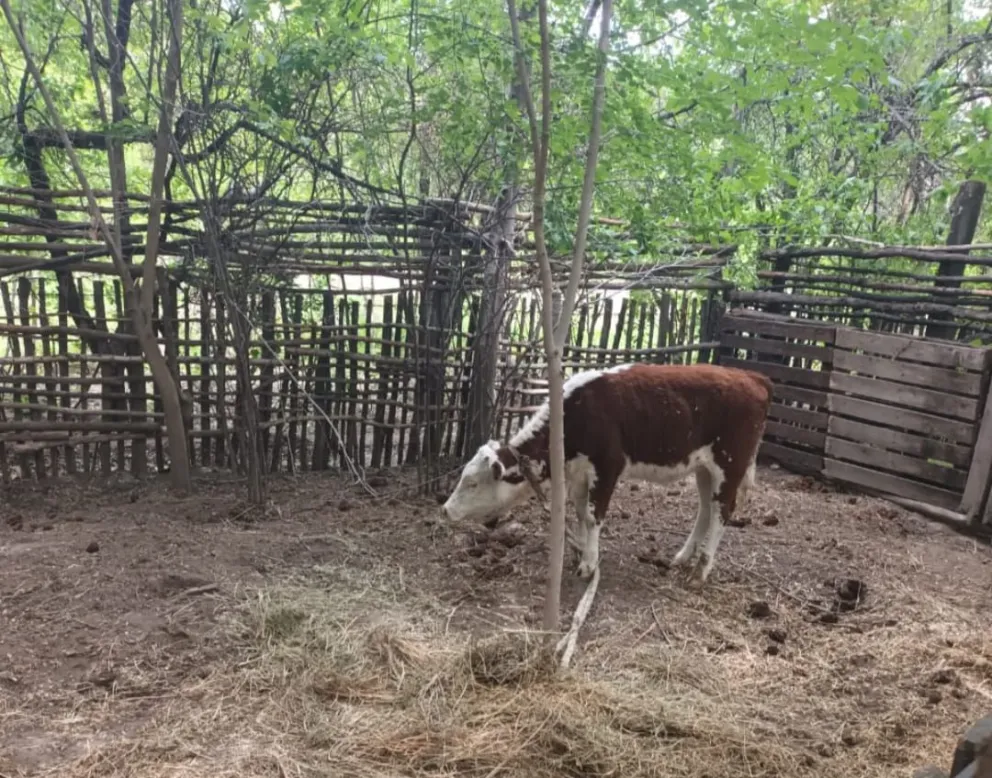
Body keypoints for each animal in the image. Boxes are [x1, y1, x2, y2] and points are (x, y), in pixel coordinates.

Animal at [441, 362, 773, 583]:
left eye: (472, 483)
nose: (445, 510)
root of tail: (751, 377)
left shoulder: (607, 466)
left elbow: (592, 515)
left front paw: (588, 565)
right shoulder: (580, 472)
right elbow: (578, 512)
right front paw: (578, 552)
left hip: (730, 464)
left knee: (722, 511)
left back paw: (701, 570)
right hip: (704, 468)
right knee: (706, 509)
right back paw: (682, 558)